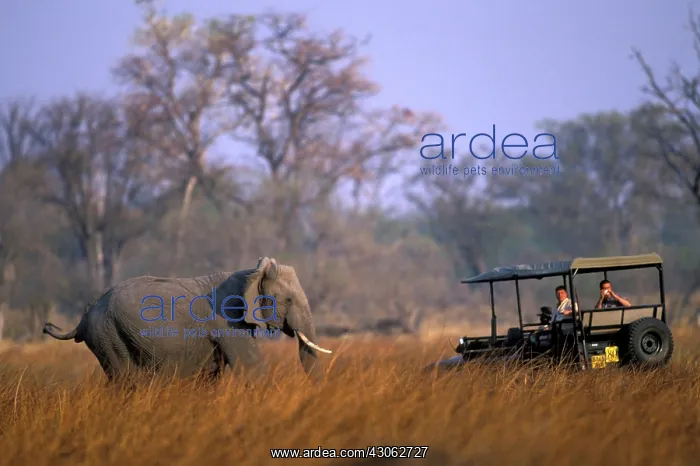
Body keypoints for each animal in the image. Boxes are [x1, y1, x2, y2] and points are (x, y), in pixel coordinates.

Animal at [43, 257, 332, 382]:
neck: (252, 271)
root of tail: (84, 316)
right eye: (288, 301)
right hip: (108, 335)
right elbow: (252, 368)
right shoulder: (228, 321)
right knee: (126, 380)